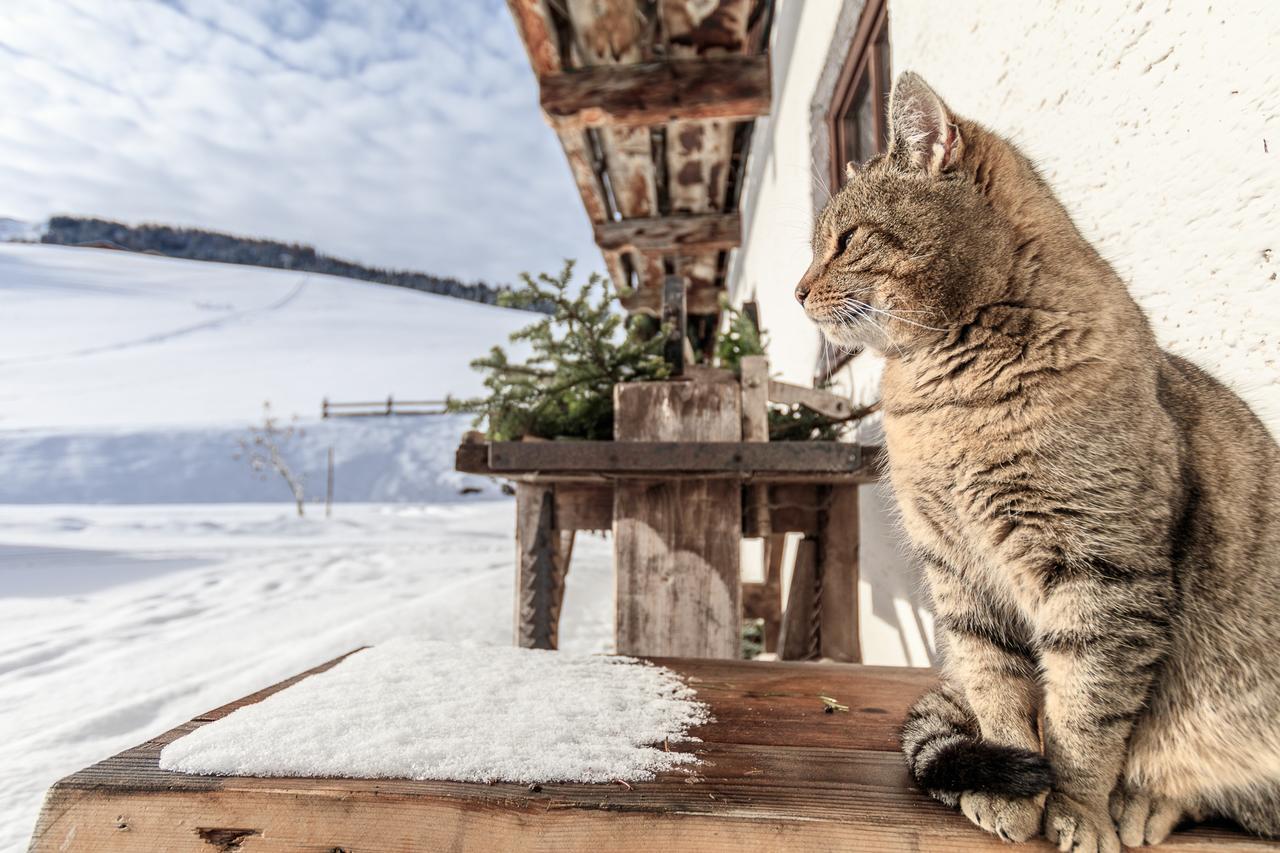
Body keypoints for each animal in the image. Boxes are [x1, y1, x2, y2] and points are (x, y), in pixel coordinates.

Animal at [798, 73, 1280, 850]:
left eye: (846, 240)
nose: (798, 290)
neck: (944, 396)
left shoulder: (1102, 573)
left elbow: (1085, 715)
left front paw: (1077, 811)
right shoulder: (958, 569)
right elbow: (997, 686)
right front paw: (1013, 791)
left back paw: (1140, 803)